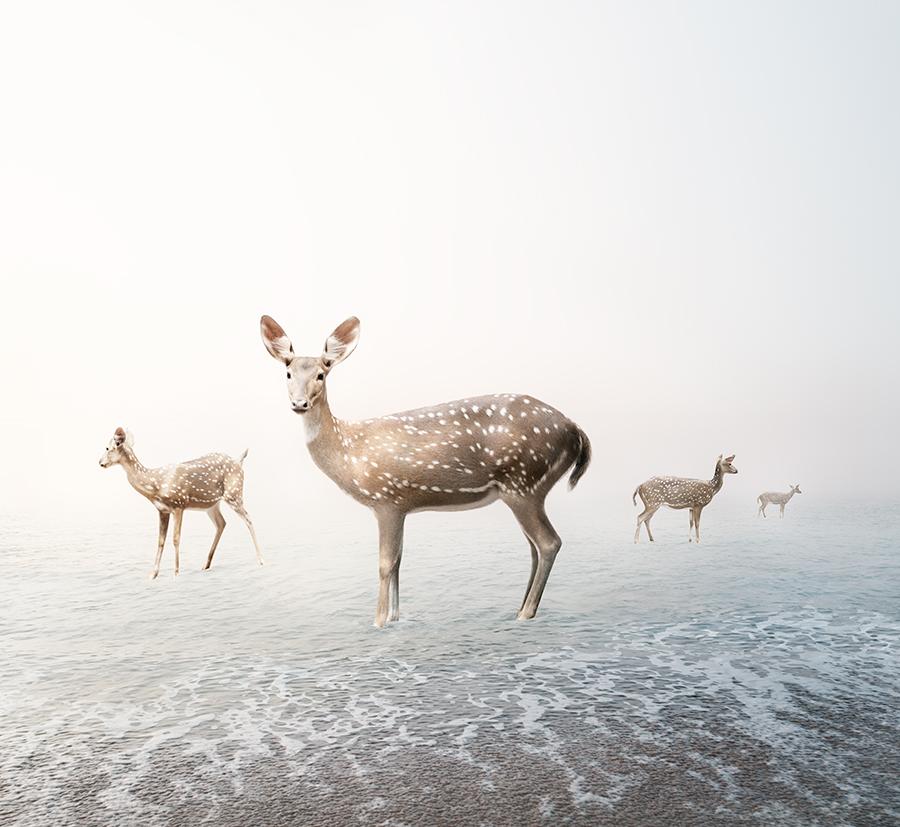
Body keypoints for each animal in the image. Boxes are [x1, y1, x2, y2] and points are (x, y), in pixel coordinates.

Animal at [99, 427, 265, 577]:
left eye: (107, 448)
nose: (100, 462)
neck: (156, 484)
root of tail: (239, 461)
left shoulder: (178, 504)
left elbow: (175, 538)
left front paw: (176, 573)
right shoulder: (162, 510)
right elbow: (160, 540)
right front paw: (153, 574)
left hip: (234, 493)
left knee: (248, 519)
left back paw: (261, 560)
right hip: (212, 504)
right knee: (221, 523)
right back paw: (206, 564)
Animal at [260, 315, 591, 627]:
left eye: (321, 374)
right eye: (288, 373)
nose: (299, 403)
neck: (349, 451)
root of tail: (576, 431)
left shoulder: (387, 499)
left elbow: (385, 563)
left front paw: (378, 621)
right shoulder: (400, 506)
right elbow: (398, 561)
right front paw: (395, 617)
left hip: (524, 482)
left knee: (549, 542)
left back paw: (525, 613)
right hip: (525, 489)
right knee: (534, 546)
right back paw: (520, 608)